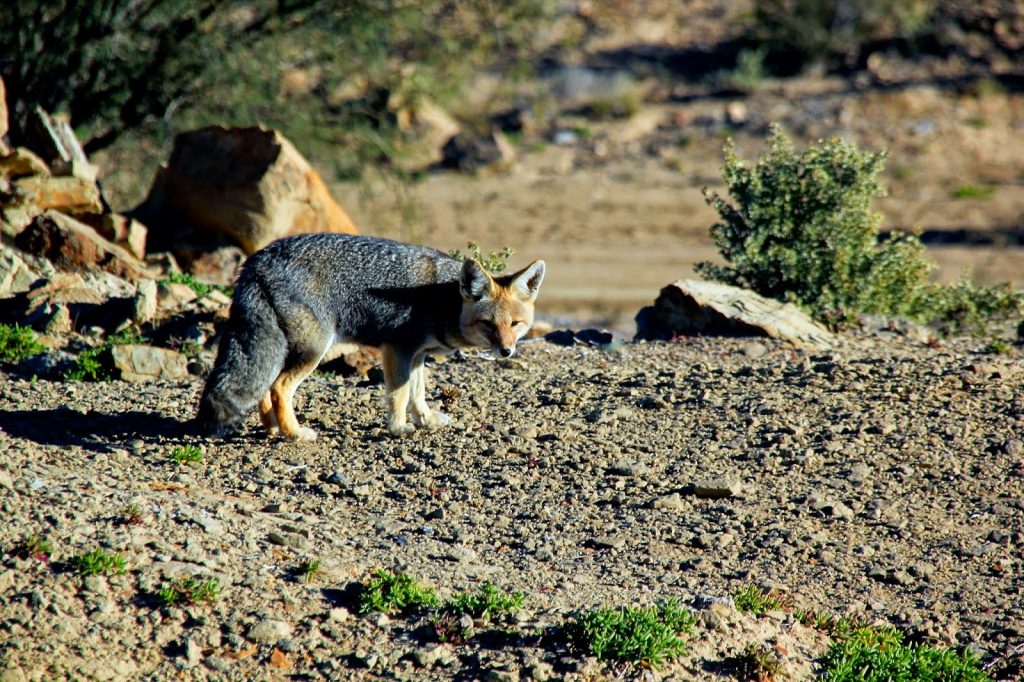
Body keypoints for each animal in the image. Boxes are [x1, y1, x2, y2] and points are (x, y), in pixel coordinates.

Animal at [193, 232, 544, 436]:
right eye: (488, 325)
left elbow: (417, 393)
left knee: (266, 387)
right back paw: (295, 433)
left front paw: (426, 420)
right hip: (315, 350)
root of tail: (258, 258)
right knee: (279, 388)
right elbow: (400, 393)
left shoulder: (418, 354)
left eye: (515, 324)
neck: (442, 298)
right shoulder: (397, 349)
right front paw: (399, 428)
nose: (506, 351)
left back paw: (273, 428)